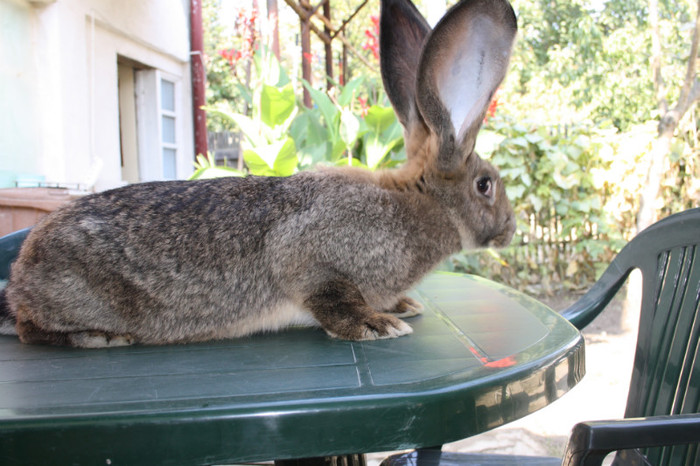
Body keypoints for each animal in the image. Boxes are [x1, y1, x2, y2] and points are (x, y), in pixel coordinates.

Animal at [0, 0, 516, 348]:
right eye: (485, 184)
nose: (510, 230)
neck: (415, 200)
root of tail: (21, 274)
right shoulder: (309, 255)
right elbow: (331, 297)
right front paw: (378, 324)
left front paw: (400, 305)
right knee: (30, 330)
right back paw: (98, 337)